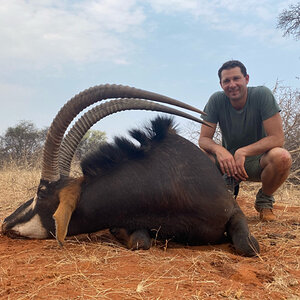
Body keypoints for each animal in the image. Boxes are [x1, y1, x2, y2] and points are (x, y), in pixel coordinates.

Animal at [1, 84, 258, 255]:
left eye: (42, 192)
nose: (6, 222)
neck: (174, 183)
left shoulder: (233, 211)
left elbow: (249, 247)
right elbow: (140, 241)